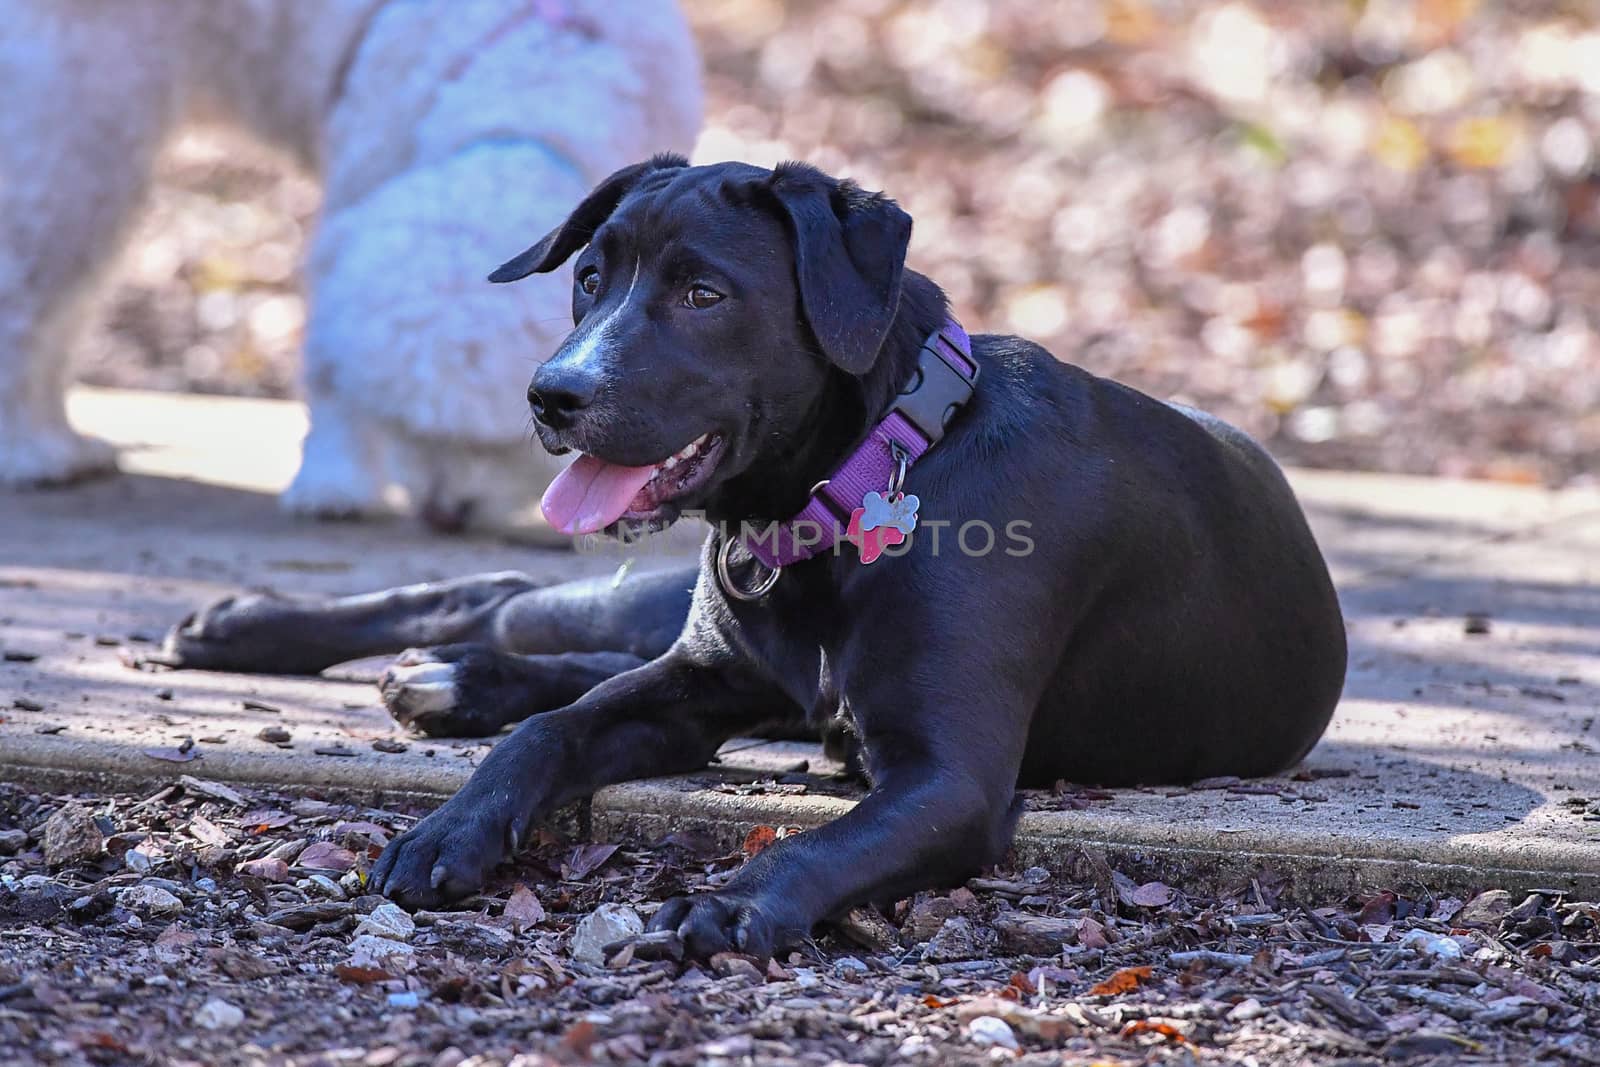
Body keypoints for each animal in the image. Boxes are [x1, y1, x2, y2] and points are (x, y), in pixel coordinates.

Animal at [0, 0, 700, 534]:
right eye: (404, 427)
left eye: (497, 441)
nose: (447, 513)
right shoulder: (362, 173)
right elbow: (328, 364)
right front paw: (334, 483)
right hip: (76, 125)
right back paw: (31, 451)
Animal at [156, 151, 1344, 959]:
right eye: (589, 278)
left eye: (704, 293)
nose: (551, 393)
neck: (866, 479)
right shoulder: (694, 679)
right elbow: (550, 729)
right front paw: (451, 826)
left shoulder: (948, 775)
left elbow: (821, 842)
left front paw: (729, 904)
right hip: (665, 624)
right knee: (507, 599)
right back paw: (257, 629)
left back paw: (443, 680)